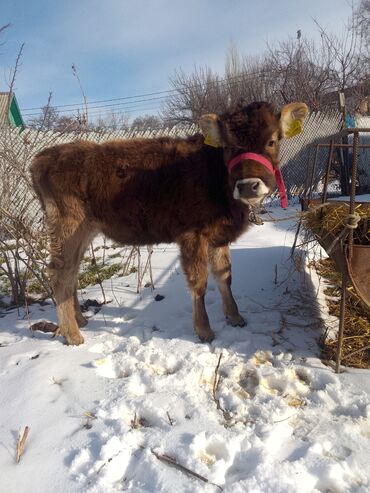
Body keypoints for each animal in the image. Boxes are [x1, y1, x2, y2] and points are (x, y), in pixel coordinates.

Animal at [31, 102, 306, 344]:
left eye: (272, 140)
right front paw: (204, 331)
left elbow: (224, 276)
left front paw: (236, 317)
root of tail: (43, 158)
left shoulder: (218, 237)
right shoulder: (193, 237)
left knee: (72, 272)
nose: (248, 185)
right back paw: (73, 335)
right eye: (227, 146)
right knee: (59, 275)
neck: (211, 171)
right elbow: (199, 283)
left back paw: (80, 320)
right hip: (68, 229)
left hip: (84, 232)